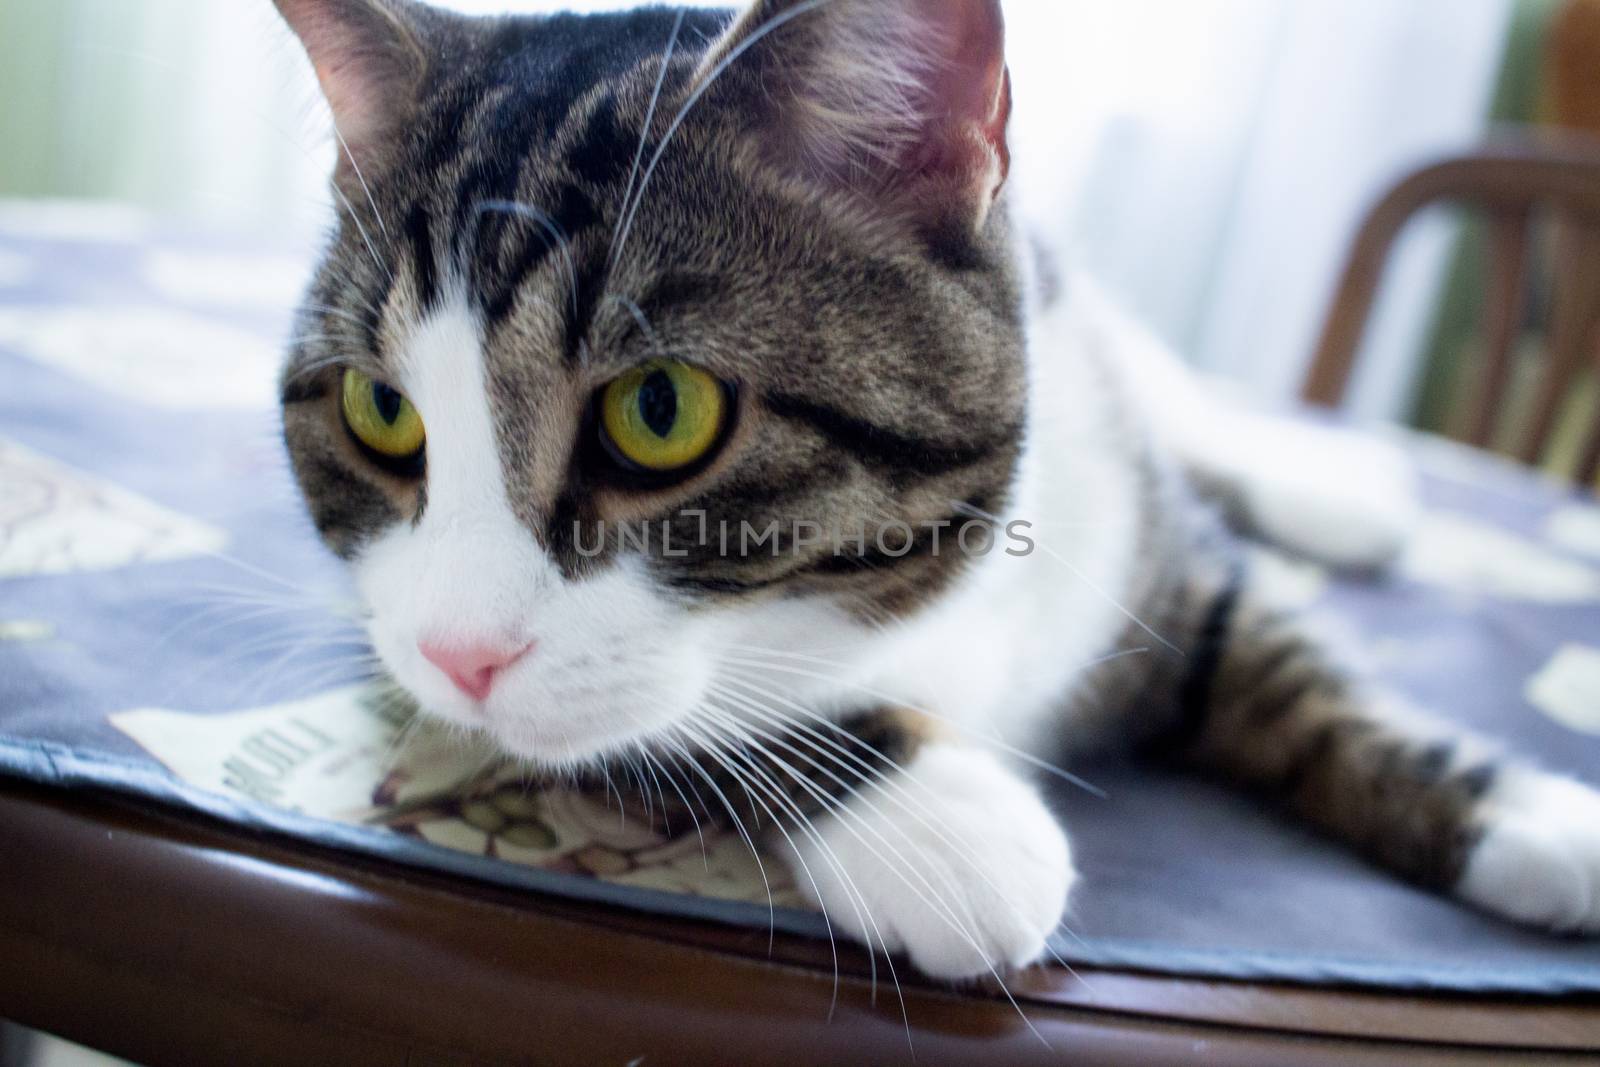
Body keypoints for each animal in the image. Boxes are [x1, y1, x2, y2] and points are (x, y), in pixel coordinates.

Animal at [272, 0, 1600, 979]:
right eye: (381, 411)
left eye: (658, 411)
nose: (459, 654)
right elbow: (663, 720)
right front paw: (933, 811)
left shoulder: (1125, 513)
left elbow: (1273, 654)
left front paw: (1529, 815)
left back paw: (1328, 484)